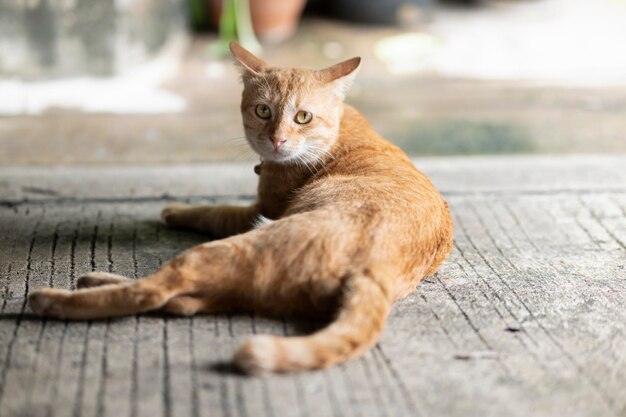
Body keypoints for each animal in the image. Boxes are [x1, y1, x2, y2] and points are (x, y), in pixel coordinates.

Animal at [29, 43, 450, 374]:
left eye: (302, 117)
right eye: (263, 111)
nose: (277, 139)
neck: (335, 133)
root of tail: (373, 270)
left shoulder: (256, 210)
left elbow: (212, 211)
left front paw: (174, 210)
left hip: (234, 247)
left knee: (157, 290)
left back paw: (54, 300)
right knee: (184, 301)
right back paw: (96, 280)